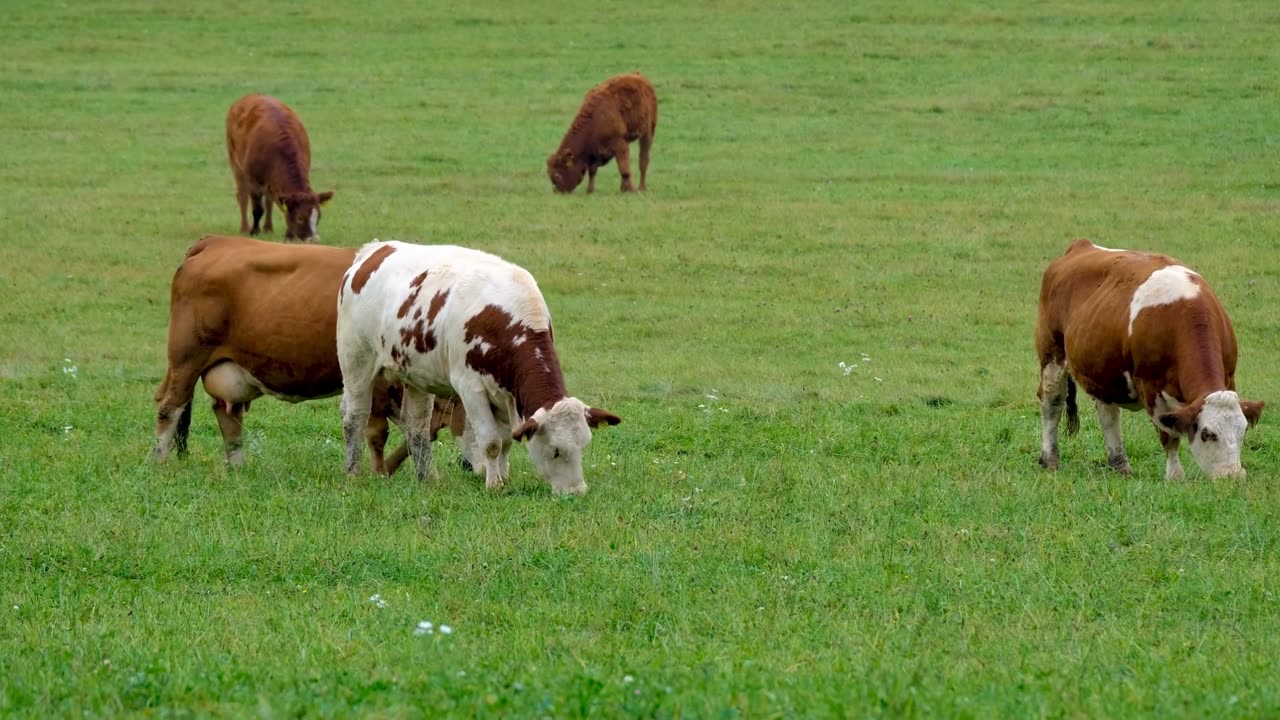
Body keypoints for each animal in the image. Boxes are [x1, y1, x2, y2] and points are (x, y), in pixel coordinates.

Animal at [150, 235, 460, 471]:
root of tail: (216, 241)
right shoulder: (376, 380)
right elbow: (378, 432)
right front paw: (379, 473)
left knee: (229, 416)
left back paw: (238, 469)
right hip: (186, 359)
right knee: (169, 406)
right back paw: (157, 462)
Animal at [226, 92, 335, 240]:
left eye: (318, 218)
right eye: (300, 218)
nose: (313, 239)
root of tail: (252, 95)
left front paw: (288, 234)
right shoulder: (253, 180)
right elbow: (257, 209)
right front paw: (254, 231)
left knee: (269, 200)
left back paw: (268, 228)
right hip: (235, 162)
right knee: (242, 196)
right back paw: (245, 228)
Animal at [337, 240, 622, 491]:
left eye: (583, 446)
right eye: (555, 451)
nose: (577, 491)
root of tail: (374, 250)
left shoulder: (507, 392)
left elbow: (506, 441)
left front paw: (504, 478)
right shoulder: (470, 387)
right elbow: (491, 441)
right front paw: (493, 485)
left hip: (415, 374)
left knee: (416, 425)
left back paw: (427, 479)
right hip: (356, 358)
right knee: (355, 416)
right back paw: (353, 474)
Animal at [1034, 238, 1264, 479]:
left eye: (1243, 430)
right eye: (1207, 434)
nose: (1233, 476)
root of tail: (1080, 245)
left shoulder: (1229, 377)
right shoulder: (1150, 388)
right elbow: (1168, 436)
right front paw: (1175, 477)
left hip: (1102, 367)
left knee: (1108, 413)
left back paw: (1120, 464)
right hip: (1052, 353)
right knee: (1052, 403)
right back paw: (1050, 459)